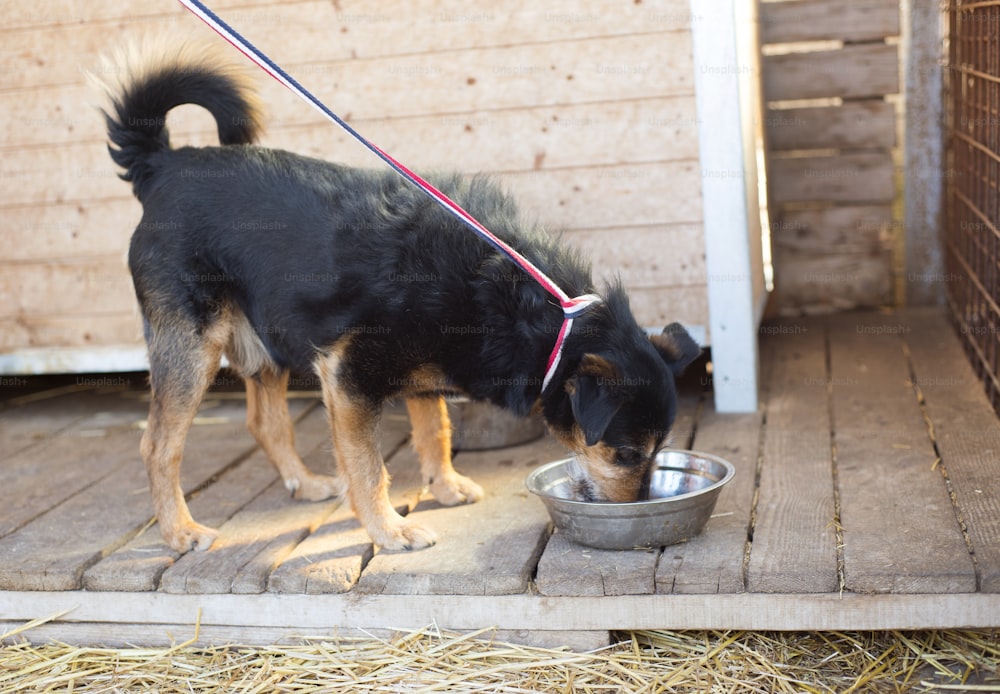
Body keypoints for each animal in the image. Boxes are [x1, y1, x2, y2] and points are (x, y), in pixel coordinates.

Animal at [97, 43, 700, 556]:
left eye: (655, 453)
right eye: (626, 455)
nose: (639, 512)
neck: (537, 314)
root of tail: (163, 165)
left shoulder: (421, 375)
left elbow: (436, 431)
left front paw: (445, 486)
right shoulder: (349, 378)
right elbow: (369, 467)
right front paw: (388, 530)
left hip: (265, 340)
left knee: (265, 423)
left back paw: (305, 484)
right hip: (194, 346)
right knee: (159, 446)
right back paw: (180, 531)